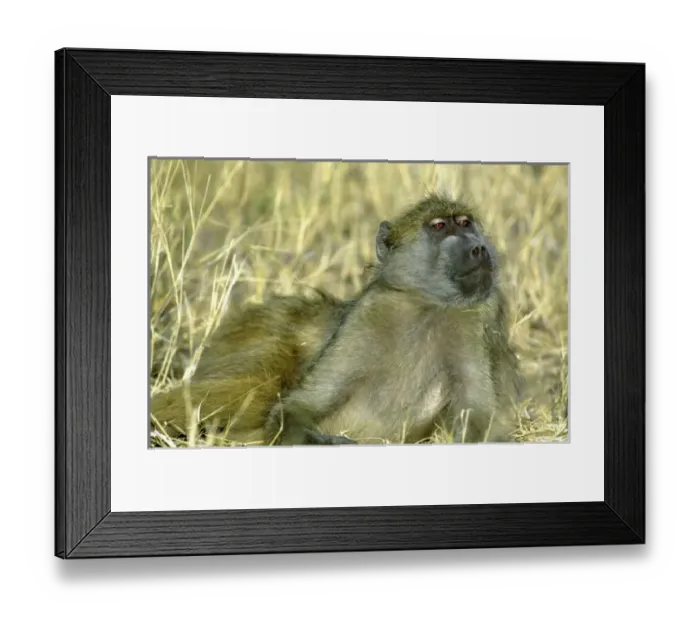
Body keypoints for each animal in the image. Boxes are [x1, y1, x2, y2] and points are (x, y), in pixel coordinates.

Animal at [150, 193, 522, 447]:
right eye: (440, 226)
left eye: (466, 222)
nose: (478, 248)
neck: (427, 306)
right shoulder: (369, 315)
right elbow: (300, 406)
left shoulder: (475, 321)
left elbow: (479, 416)